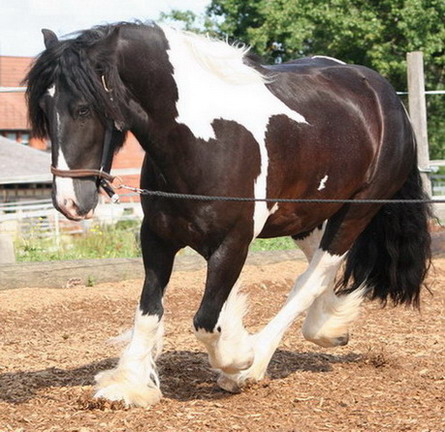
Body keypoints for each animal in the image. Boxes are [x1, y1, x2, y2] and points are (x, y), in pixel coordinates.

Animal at [25, 22, 431, 407]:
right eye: (43, 110)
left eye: (83, 108)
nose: (68, 202)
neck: (204, 139)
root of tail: (383, 93)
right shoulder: (157, 239)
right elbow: (148, 312)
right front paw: (128, 386)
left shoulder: (233, 242)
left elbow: (205, 321)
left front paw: (237, 358)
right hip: (305, 215)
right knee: (318, 267)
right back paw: (330, 327)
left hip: (357, 211)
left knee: (312, 276)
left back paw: (255, 365)